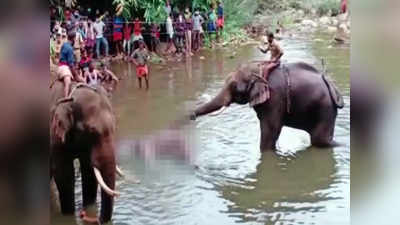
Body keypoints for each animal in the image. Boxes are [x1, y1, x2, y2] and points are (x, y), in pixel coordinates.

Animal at [50, 81, 122, 224]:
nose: (84, 215)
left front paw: (89, 208)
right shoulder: (54, 136)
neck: (69, 98)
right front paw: (68, 214)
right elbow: (64, 174)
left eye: (114, 127)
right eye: (91, 131)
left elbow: (89, 172)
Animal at [191, 61, 344, 151]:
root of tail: (330, 84)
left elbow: (271, 129)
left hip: (324, 108)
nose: (191, 116)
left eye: (236, 88)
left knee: (319, 140)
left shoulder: (274, 98)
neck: (259, 71)